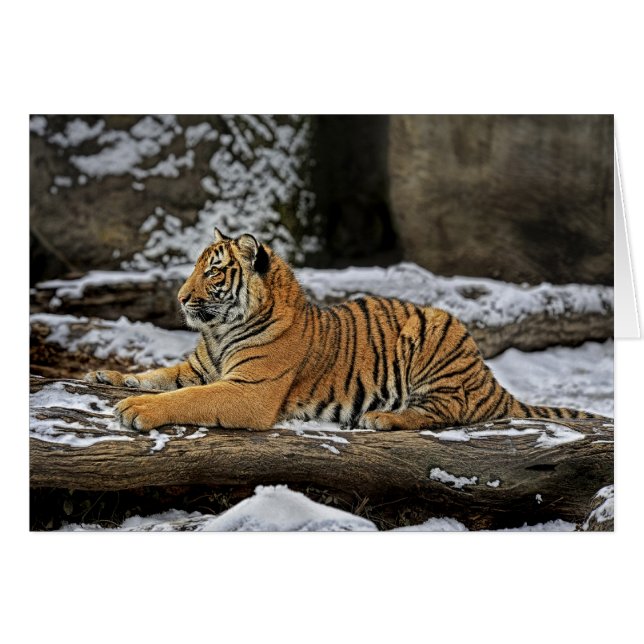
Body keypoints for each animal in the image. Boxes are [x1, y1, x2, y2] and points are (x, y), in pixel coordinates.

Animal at [85, 228, 604, 432]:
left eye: (212, 272)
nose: (179, 297)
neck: (218, 331)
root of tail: (487, 377)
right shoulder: (197, 367)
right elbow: (159, 374)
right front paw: (108, 377)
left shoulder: (249, 390)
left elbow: (186, 397)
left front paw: (136, 409)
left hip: (436, 333)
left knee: (446, 411)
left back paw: (383, 418)